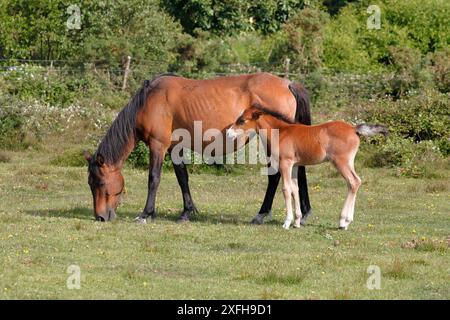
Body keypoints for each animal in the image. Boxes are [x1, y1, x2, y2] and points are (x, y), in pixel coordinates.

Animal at [229, 105, 386, 230]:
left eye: (242, 120)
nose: (229, 133)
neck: (282, 132)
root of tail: (354, 129)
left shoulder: (285, 163)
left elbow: (286, 189)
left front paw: (287, 222)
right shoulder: (294, 165)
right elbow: (295, 189)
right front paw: (297, 221)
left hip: (341, 162)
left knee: (353, 182)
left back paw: (343, 222)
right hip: (349, 162)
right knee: (355, 182)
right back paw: (347, 221)